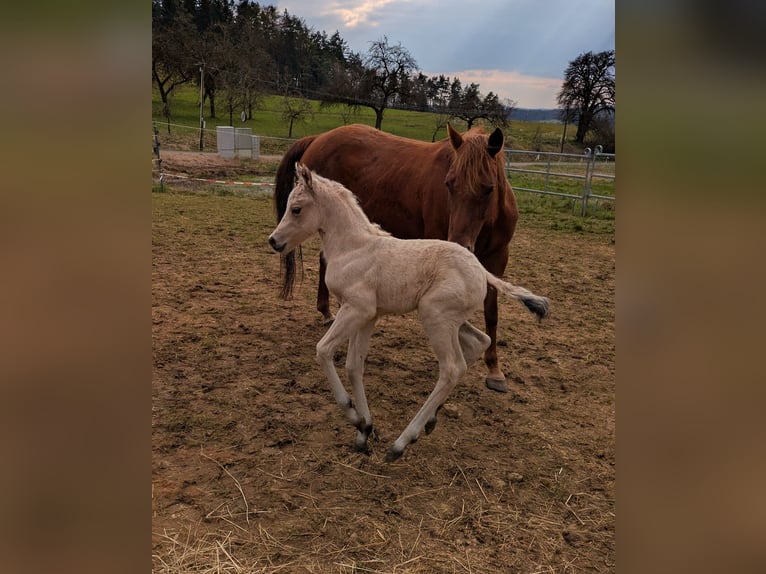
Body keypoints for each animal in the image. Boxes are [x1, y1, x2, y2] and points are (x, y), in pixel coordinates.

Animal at [268, 164, 549, 462]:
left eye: (296, 209)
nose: (274, 241)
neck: (353, 248)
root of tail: (482, 271)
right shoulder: (367, 316)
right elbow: (354, 366)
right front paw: (364, 430)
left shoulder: (356, 309)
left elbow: (323, 350)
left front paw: (353, 415)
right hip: (452, 320)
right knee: (478, 343)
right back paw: (431, 420)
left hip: (434, 316)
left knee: (452, 368)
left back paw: (402, 443)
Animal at [274, 123, 520, 392]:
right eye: (449, 184)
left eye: (489, 188)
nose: (460, 243)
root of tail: (318, 137)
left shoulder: (499, 257)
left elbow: (492, 312)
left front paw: (494, 370)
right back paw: (328, 313)